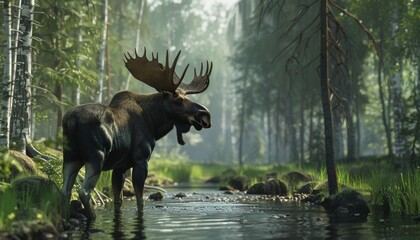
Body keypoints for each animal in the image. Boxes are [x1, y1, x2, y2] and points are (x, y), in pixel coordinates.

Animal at [61, 47, 213, 218]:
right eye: (178, 100)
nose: (205, 115)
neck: (153, 123)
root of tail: (70, 120)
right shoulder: (141, 158)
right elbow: (140, 201)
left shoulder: (120, 166)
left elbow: (118, 199)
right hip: (95, 157)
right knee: (84, 192)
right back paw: (92, 217)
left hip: (70, 157)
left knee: (65, 191)